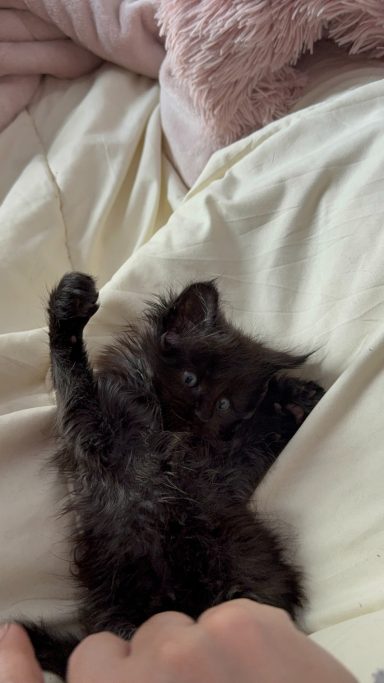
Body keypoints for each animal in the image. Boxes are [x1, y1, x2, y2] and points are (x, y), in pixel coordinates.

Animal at [19, 272, 322, 680]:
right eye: (190, 378)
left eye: (225, 404)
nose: (202, 412)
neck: (167, 433)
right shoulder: (93, 430)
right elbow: (72, 373)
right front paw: (68, 305)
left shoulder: (231, 468)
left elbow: (256, 443)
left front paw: (294, 400)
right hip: (116, 603)